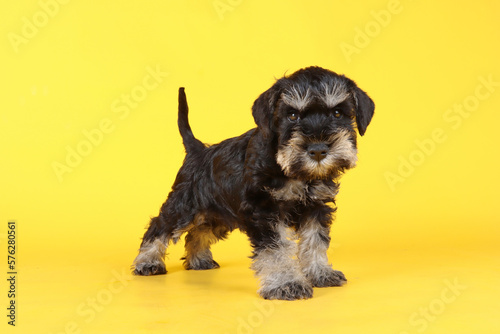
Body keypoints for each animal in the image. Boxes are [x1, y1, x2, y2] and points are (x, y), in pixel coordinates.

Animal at [131, 65, 374, 300]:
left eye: (337, 113)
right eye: (292, 115)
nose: (318, 150)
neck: (296, 174)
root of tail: (197, 149)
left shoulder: (316, 208)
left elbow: (315, 242)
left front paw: (320, 273)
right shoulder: (265, 211)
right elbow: (276, 250)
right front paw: (285, 284)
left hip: (217, 215)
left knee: (197, 233)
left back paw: (199, 260)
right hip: (183, 206)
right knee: (159, 226)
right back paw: (148, 262)